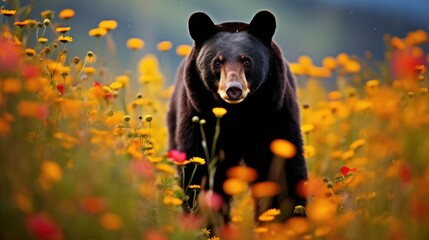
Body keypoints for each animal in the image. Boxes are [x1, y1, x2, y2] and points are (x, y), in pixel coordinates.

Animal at [166, 10, 306, 218]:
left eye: (246, 60)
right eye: (217, 61)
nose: (233, 89)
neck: (238, 115)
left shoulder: (274, 114)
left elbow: (281, 168)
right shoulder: (199, 117)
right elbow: (201, 170)